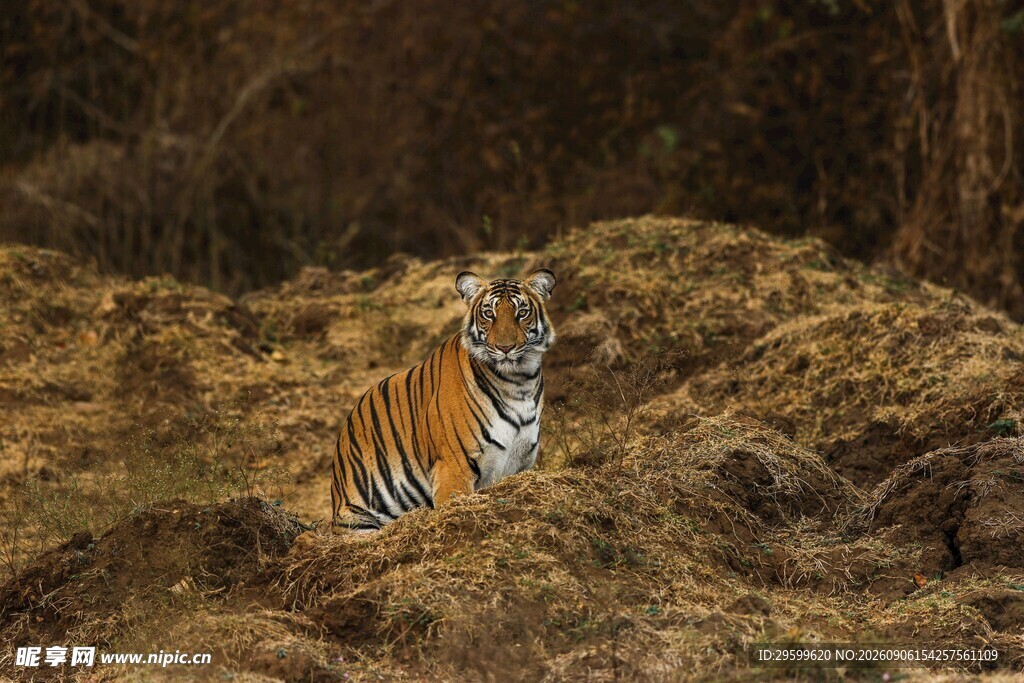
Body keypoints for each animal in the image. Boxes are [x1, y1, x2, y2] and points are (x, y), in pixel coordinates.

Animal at [330, 268, 557, 531]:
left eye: (522, 313)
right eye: (489, 314)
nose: (505, 347)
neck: (518, 383)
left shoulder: (520, 464)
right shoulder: (453, 467)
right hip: (356, 519)